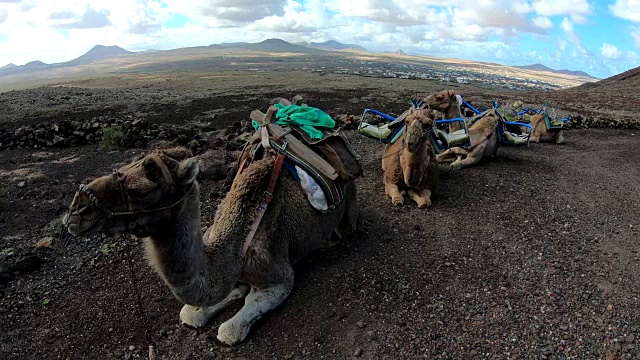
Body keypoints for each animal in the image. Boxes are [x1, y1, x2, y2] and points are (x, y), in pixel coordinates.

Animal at [63, 146, 360, 346]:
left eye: (140, 191)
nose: (77, 209)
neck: (236, 248)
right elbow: (191, 313)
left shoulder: (280, 276)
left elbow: (228, 330)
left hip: (349, 205)